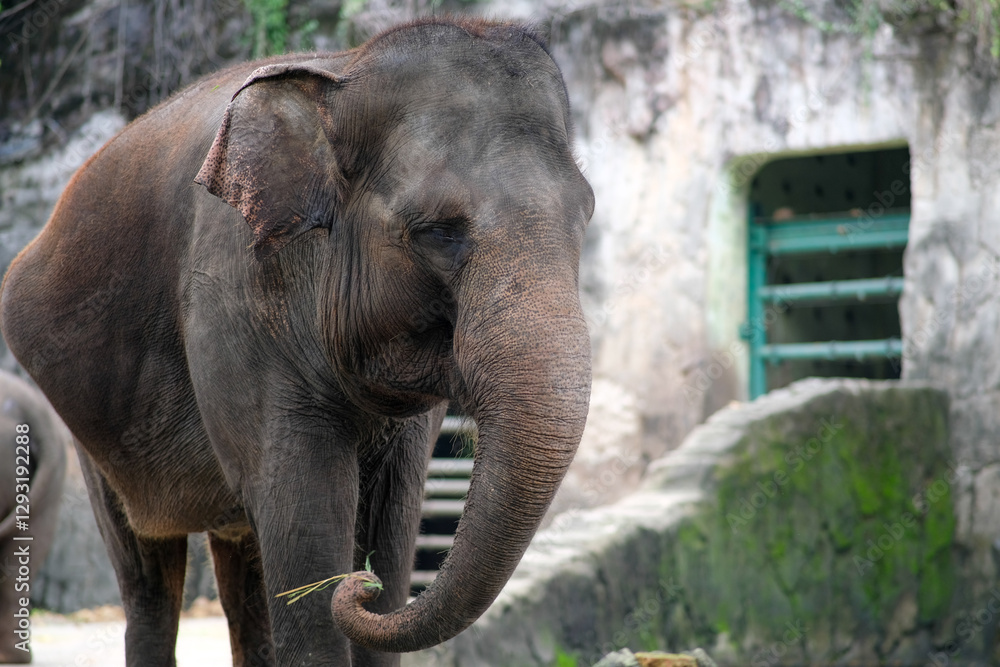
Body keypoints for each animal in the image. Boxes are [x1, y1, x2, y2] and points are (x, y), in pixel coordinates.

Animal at [0, 16, 593, 666]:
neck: (343, 71)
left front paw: (372, 577)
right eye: (436, 231)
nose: (361, 588)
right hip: (86, 432)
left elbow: (392, 513)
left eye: (586, 216)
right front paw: (342, 584)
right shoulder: (234, 295)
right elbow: (304, 514)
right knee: (147, 571)